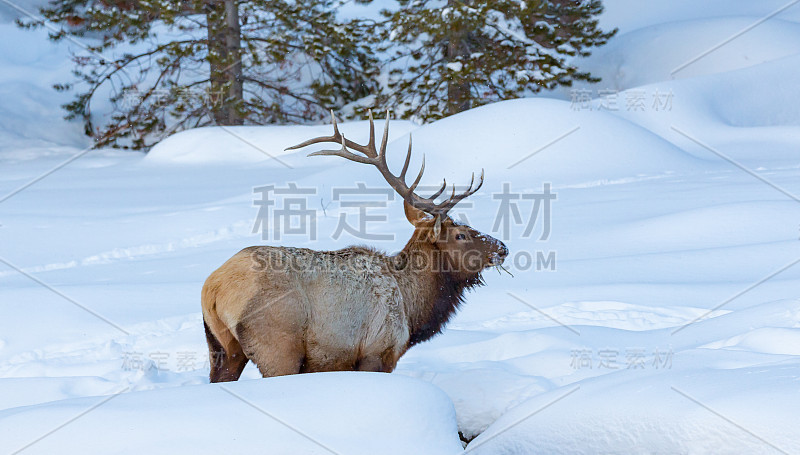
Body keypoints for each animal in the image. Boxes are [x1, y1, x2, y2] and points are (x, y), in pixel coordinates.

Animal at [200, 112, 506, 382]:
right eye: (461, 235)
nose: (502, 248)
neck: (412, 309)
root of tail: (212, 287)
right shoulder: (377, 351)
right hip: (277, 344)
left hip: (222, 347)